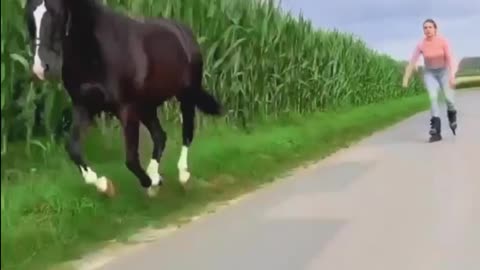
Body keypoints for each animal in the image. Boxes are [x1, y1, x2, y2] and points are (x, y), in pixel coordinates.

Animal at [27, 0, 226, 197]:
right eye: (30, 16)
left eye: (56, 13)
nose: (41, 68)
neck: (96, 52)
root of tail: (184, 31)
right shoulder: (83, 106)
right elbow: (73, 148)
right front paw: (105, 185)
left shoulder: (126, 108)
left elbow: (130, 159)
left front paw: (149, 182)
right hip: (147, 107)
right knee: (160, 136)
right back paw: (155, 175)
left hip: (186, 96)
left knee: (187, 134)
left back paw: (182, 176)